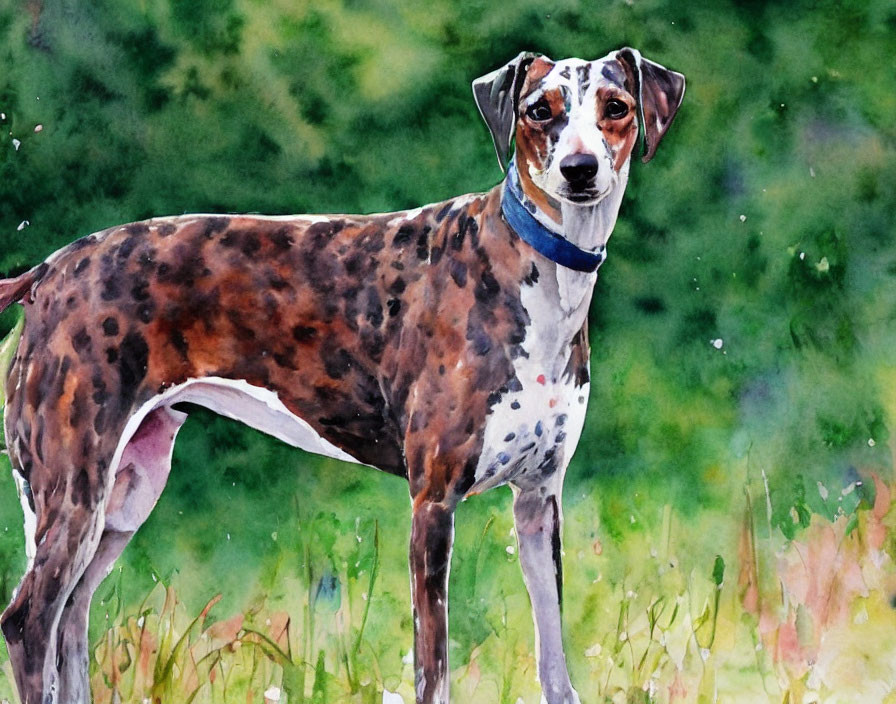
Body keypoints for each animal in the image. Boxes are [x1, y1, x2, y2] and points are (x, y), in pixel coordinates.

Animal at [1, 46, 688, 700]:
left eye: (616, 106)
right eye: (539, 110)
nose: (580, 170)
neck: (535, 275)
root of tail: (47, 270)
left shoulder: (539, 500)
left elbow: (554, 660)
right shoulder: (432, 504)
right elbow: (433, 670)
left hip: (124, 495)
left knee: (73, 614)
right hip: (75, 487)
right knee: (29, 620)